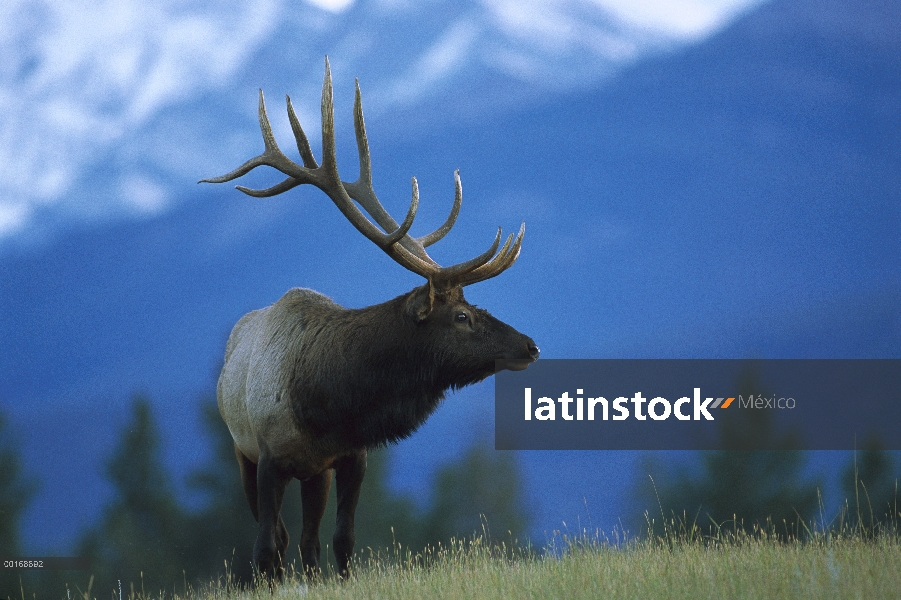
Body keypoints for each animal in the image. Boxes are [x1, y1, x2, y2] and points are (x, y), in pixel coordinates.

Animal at [201, 58, 536, 580]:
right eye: (461, 315)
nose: (530, 346)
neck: (325, 404)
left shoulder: (350, 457)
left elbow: (342, 540)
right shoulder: (268, 458)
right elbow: (264, 550)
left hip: (313, 475)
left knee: (307, 541)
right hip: (242, 454)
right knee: (278, 541)